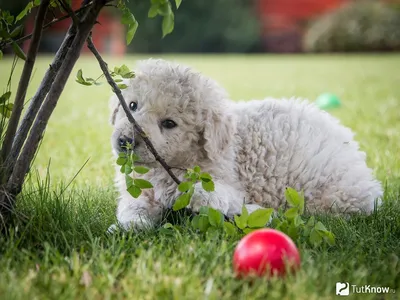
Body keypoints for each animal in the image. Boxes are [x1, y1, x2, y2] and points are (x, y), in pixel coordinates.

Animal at [108, 58, 382, 230]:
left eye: (169, 123)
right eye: (132, 106)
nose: (125, 141)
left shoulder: (226, 182)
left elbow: (208, 193)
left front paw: (183, 190)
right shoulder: (137, 189)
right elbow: (134, 206)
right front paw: (131, 224)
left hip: (327, 195)